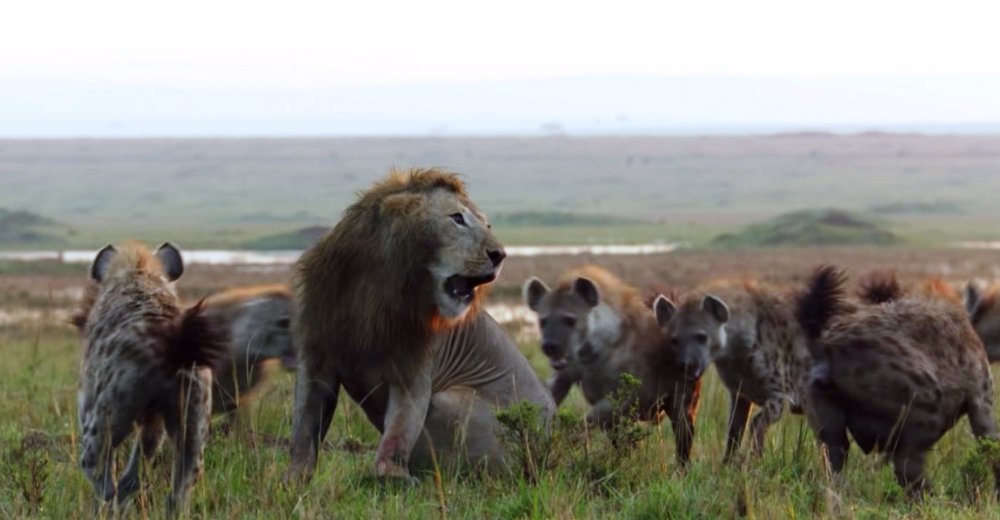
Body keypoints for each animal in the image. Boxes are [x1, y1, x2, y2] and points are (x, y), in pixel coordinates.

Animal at [288, 169, 556, 482]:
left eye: (487, 224)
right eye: (457, 219)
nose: (499, 254)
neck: (373, 290)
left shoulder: (414, 371)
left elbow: (398, 432)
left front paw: (393, 475)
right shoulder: (316, 359)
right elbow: (304, 431)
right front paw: (293, 480)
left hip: (453, 400)